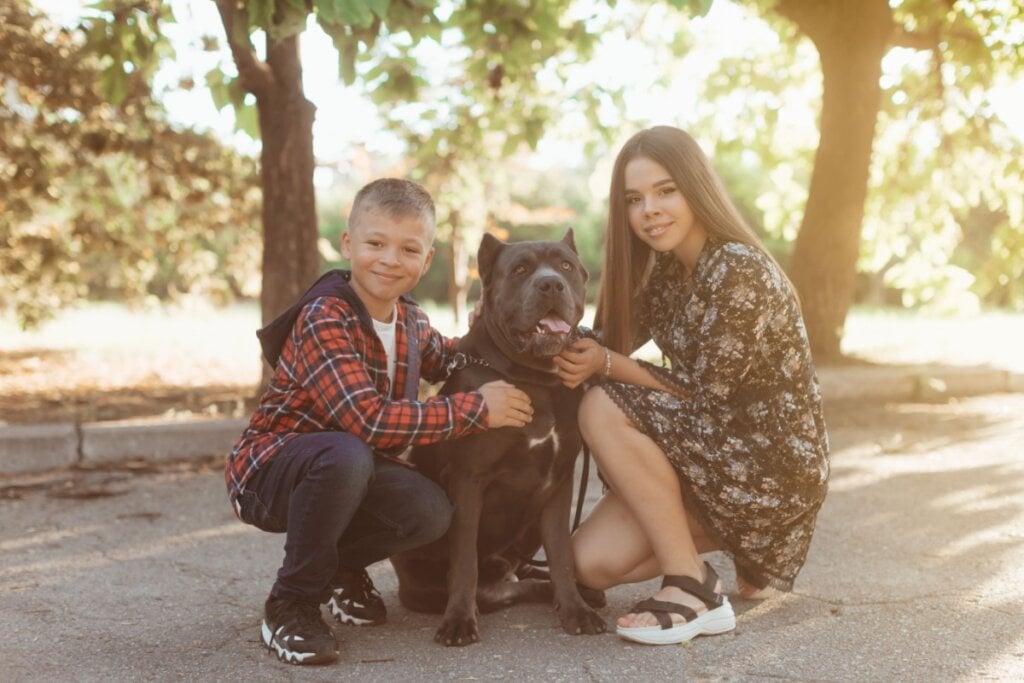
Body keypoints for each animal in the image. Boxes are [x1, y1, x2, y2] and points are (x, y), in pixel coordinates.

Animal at [387, 228, 602, 647]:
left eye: (565, 265)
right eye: (519, 270)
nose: (551, 284)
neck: (536, 378)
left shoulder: (558, 483)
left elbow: (562, 555)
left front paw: (575, 610)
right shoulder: (469, 481)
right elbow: (464, 561)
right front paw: (458, 620)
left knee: (526, 574)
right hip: (422, 580)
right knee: (495, 586)